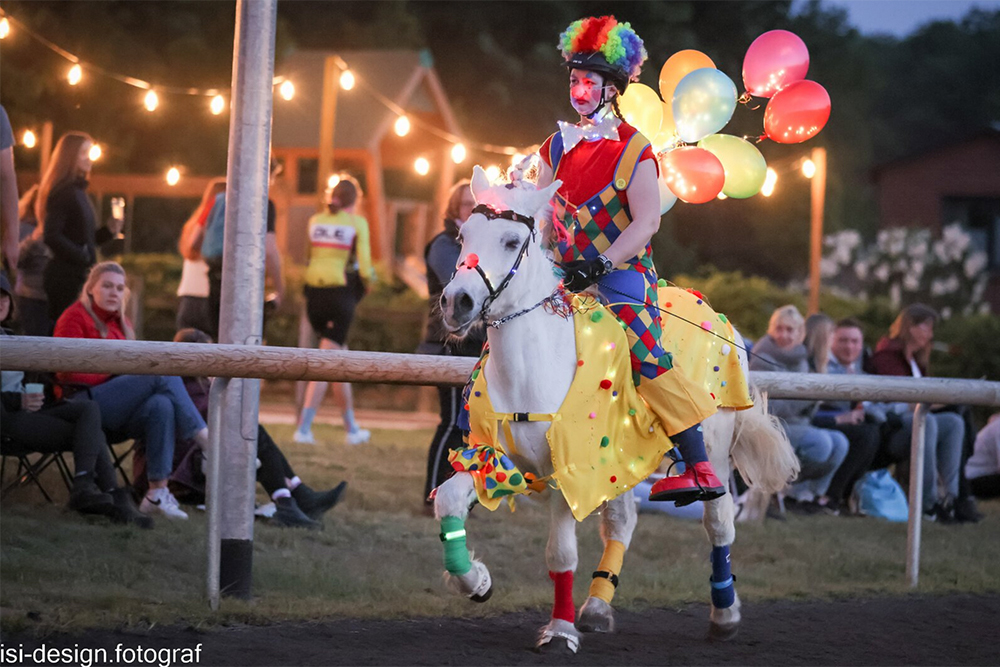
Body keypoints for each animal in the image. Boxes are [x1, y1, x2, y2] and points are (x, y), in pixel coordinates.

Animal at [436, 166, 796, 652]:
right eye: (462, 235)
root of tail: (725, 323)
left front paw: (559, 630)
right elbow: (449, 502)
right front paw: (475, 581)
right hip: (622, 457)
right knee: (623, 522)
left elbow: (560, 553)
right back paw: (597, 605)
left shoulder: (569, 471)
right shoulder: (494, 458)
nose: (457, 302)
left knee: (719, 523)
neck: (532, 368)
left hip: (715, 448)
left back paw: (724, 612)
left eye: (511, 241)